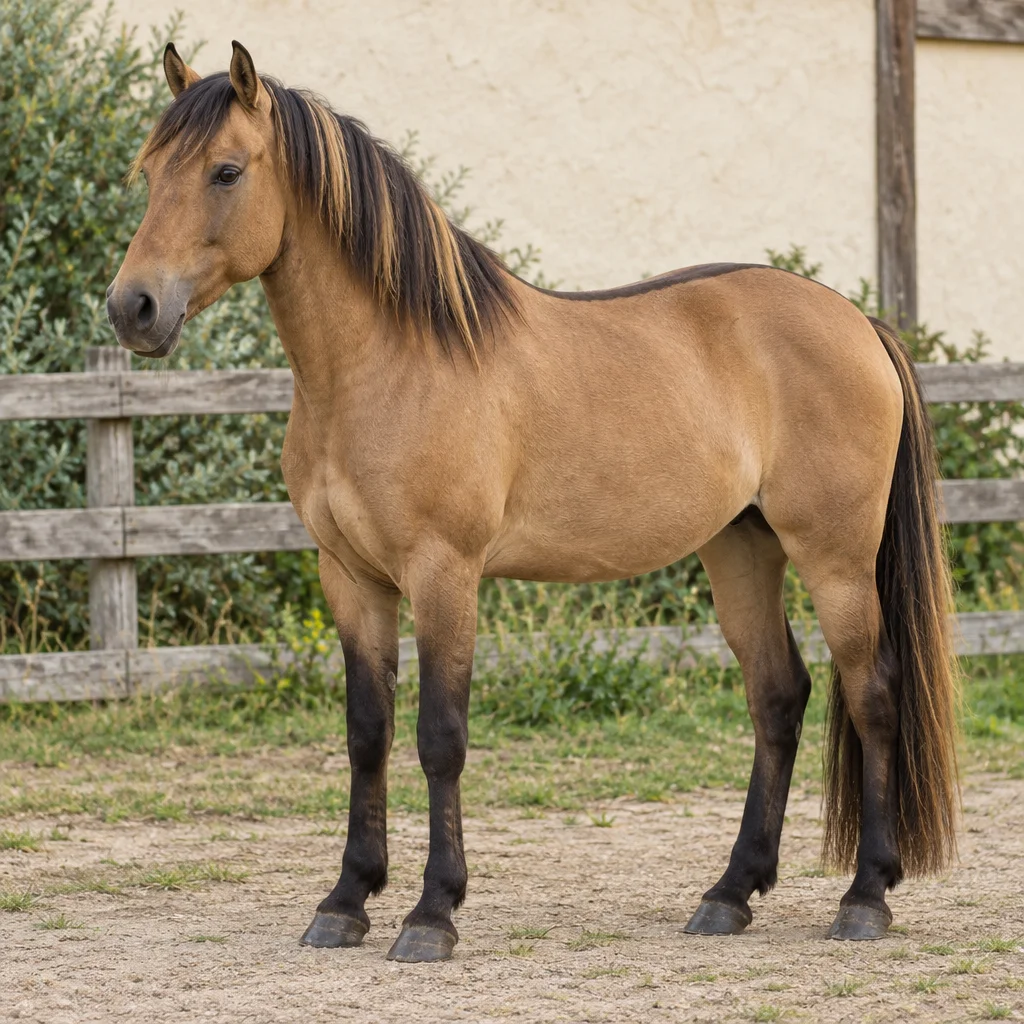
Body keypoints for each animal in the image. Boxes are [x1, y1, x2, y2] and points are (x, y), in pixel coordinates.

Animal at [106, 41, 960, 963]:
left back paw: (865, 896)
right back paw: (730, 893)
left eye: (226, 171)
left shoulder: (444, 573)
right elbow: (367, 734)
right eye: (149, 171)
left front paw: (431, 913)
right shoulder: (351, 577)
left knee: (873, 694)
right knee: (778, 696)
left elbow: (440, 737)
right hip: (740, 546)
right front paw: (345, 902)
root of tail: (857, 320)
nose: (132, 307)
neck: (390, 362)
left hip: (834, 557)